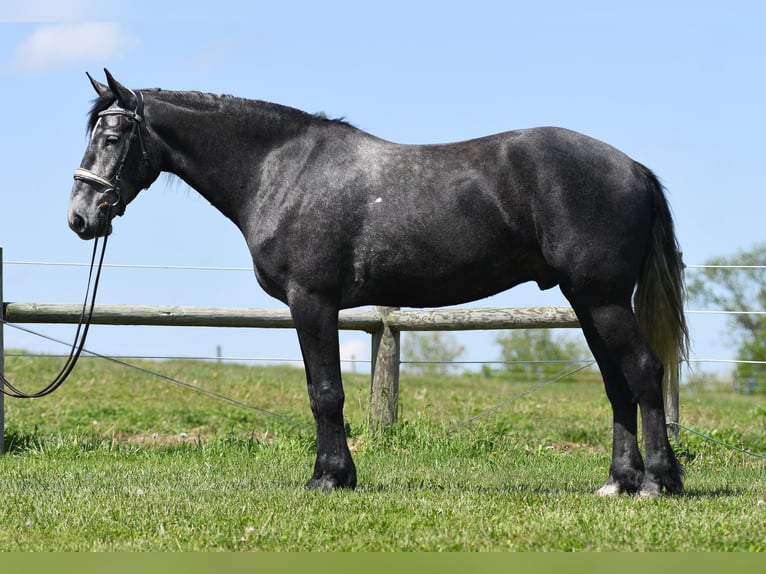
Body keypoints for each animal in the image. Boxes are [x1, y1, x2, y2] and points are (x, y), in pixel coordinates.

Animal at [68, 69, 688, 496]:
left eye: (114, 136)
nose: (80, 217)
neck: (281, 171)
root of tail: (633, 169)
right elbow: (322, 391)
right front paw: (335, 474)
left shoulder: (311, 301)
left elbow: (325, 393)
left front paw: (330, 478)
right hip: (586, 301)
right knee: (616, 384)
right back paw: (619, 481)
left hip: (603, 299)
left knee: (643, 371)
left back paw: (658, 482)